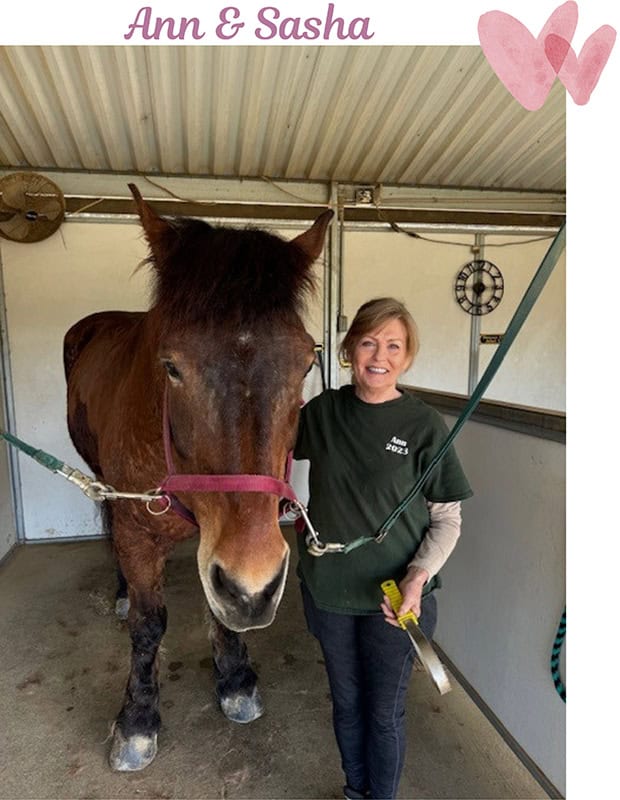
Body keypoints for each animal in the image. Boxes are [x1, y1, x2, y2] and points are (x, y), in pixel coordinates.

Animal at [63, 184, 333, 771]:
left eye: (307, 364)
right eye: (171, 367)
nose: (254, 587)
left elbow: (221, 610)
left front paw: (234, 679)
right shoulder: (138, 531)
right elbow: (148, 624)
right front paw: (137, 719)